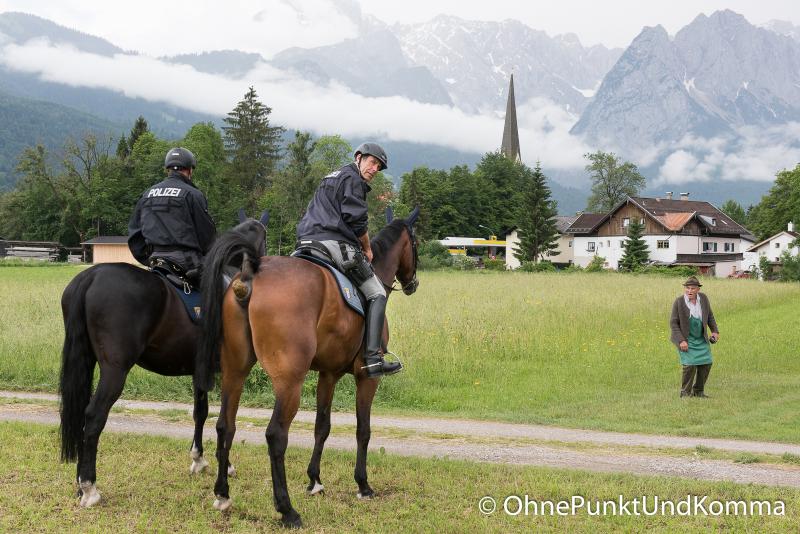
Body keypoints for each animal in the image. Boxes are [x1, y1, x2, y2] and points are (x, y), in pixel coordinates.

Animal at [57, 211, 268, 508]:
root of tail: (92, 275)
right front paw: (224, 466)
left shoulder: (198, 370)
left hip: (86, 361)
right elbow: (221, 420)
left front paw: (198, 459)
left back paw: (79, 483)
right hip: (114, 371)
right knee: (94, 417)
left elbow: (200, 412)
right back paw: (90, 487)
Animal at [195, 207, 418, 528]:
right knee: (275, 435)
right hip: (289, 382)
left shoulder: (328, 374)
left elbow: (321, 427)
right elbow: (363, 430)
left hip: (235, 372)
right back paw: (287, 509)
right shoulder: (366, 378)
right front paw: (362, 484)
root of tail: (251, 272)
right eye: (415, 242)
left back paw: (223, 493)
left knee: (225, 425)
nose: (413, 283)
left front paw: (315, 480)